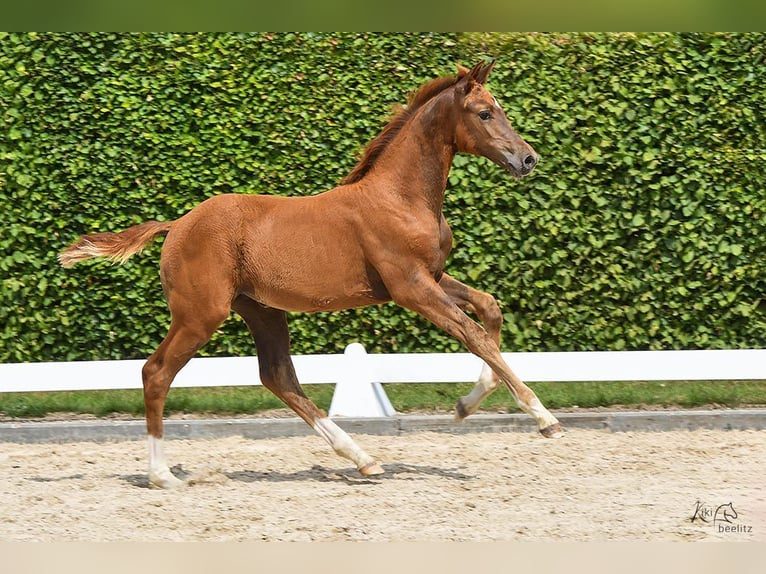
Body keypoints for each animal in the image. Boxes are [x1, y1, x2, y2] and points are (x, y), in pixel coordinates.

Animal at [59, 60, 563, 489]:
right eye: (484, 112)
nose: (527, 159)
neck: (400, 197)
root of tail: (178, 224)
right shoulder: (410, 288)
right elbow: (472, 334)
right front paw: (544, 419)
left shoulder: (432, 279)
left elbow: (489, 311)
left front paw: (463, 406)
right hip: (200, 314)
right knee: (157, 372)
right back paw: (162, 475)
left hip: (260, 310)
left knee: (278, 377)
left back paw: (363, 458)